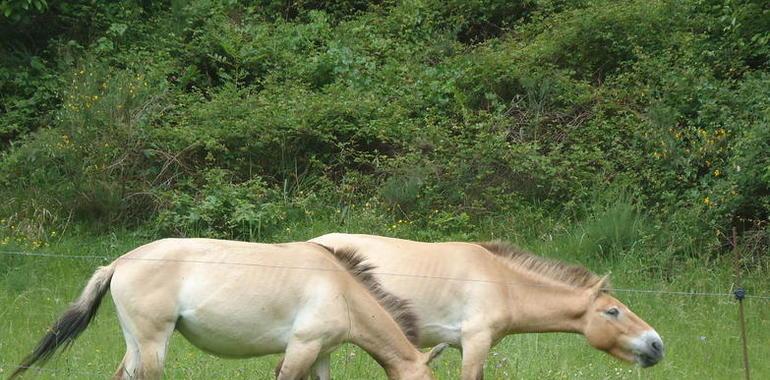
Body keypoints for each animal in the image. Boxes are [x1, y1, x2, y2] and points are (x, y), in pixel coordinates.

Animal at [10, 239, 444, 378]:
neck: (341, 289)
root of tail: (118, 263)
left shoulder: (320, 353)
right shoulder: (301, 349)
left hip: (134, 343)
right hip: (152, 344)